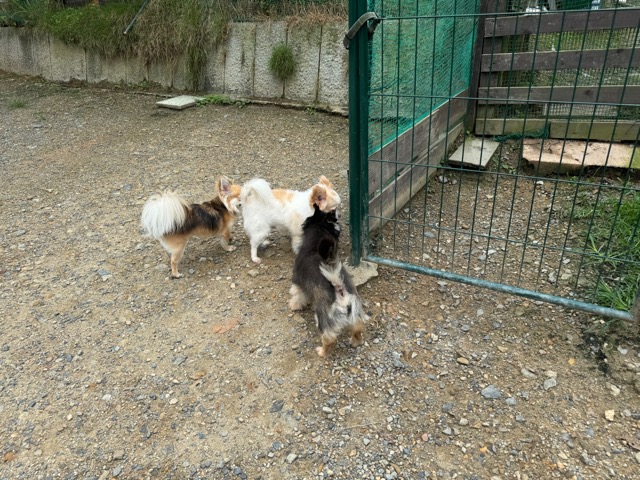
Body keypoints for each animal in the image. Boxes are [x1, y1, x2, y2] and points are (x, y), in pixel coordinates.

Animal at [289, 204, 368, 357]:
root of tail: (340, 290)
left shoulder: (298, 282)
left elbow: (297, 295)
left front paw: (294, 305)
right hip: (355, 313)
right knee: (358, 328)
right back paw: (355, 342)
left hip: (323, 318)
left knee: (328, 338)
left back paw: (321, 351)